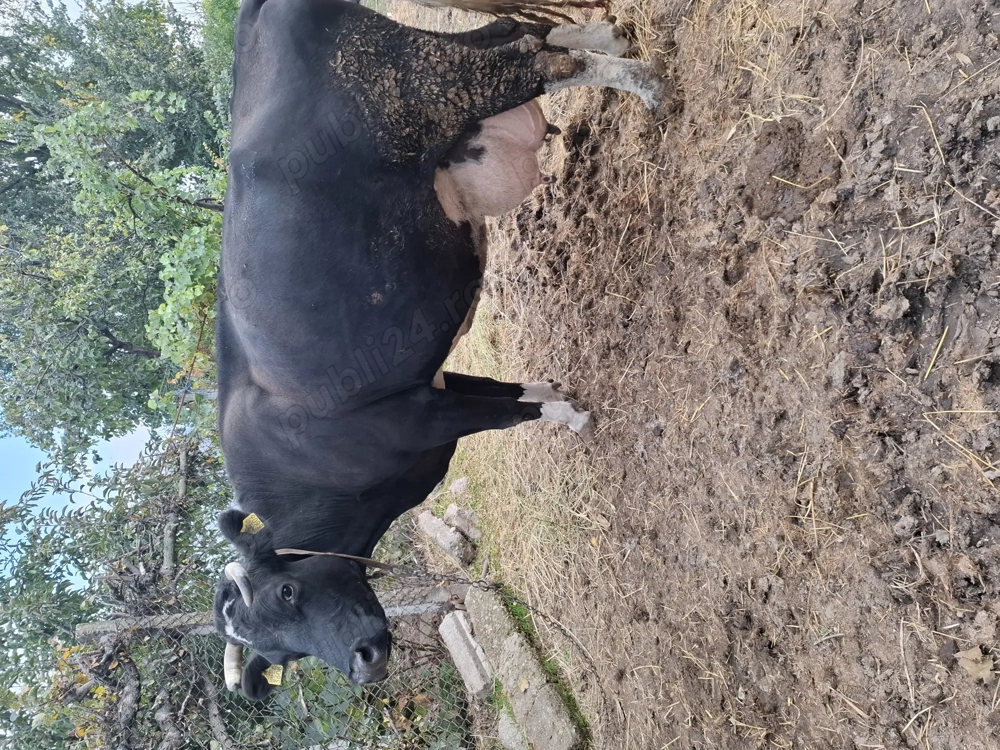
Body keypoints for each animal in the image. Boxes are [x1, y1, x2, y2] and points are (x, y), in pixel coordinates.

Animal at [214, 0, 667, 701]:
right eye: (282, 653)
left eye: (287, 592)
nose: (364, 662)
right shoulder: (437, 389)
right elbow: (514, 393)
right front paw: (565, 396)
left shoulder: (424, 414)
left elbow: (513, 413)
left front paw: (577, 417)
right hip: (430, 66)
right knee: (518, 32)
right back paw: (614, 40)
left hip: (426, 87)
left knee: (538, 60)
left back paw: (647, 85)